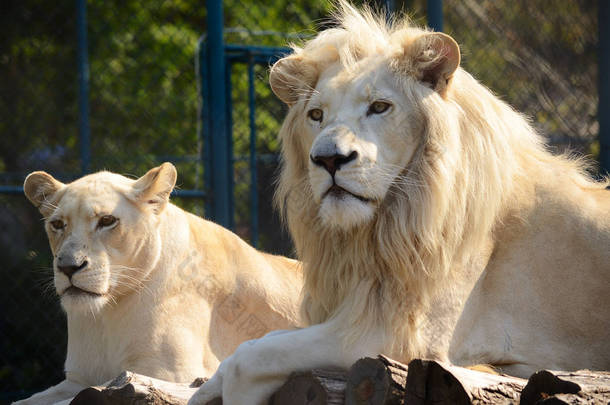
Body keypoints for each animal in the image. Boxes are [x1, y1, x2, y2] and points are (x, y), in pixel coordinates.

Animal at [17, 162, 302, 404]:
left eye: (107, 221)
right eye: (57, 224)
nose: (68, 267)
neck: (106, 314)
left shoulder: (168, 375)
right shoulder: (79, 378)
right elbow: (28, 401)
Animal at [190, 3, 608, 404]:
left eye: (379, 107)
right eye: (316, 115)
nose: (328, 159)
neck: (379, 231)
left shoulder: (398, 337)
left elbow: (252, 355)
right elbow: (254, 344)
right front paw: (204, 390)